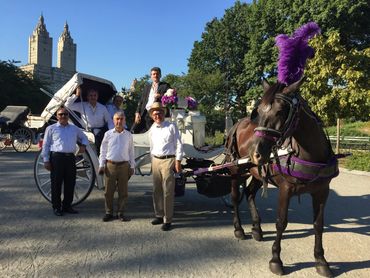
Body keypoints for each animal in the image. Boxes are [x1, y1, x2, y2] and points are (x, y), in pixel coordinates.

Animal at [225, 77, 338, 276]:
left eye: (280, 111)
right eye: (258, 111)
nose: (256, 153)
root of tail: (237, 124)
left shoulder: (322, 191)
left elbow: (318, 224)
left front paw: (321, 260)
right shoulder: (286, 190)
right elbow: (281, 222)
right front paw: (276, 260)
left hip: (257, 173)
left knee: (249, 193)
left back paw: (257, 228)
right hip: (236, 170)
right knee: (235, 197)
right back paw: (239, 229)